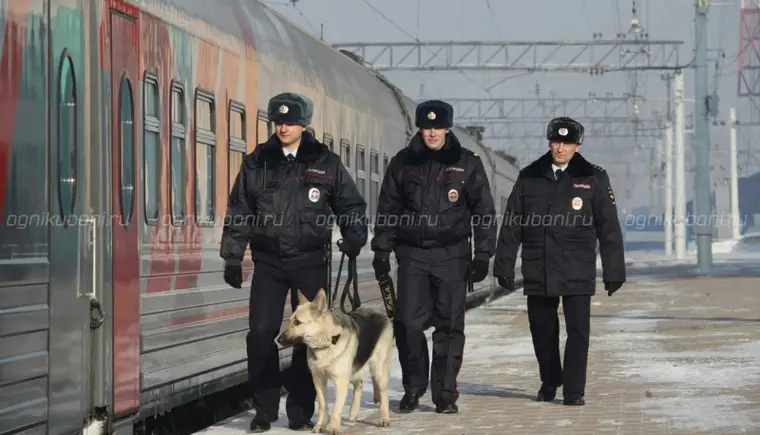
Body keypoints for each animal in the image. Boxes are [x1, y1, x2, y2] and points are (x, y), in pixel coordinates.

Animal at [276, 288, 392, 434]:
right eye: (290, 320)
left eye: (297, 322)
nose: (278, 340)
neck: (327, 342)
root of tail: (380, 314)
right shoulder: (319, 380)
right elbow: (322, 405)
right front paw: (320, 425)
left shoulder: (340, 381)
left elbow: (337, 406)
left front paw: (333, 427)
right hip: (352, 372)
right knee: (359, 384)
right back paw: (353, 413)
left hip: (377, 369)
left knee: (383, 393)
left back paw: (384, 418)